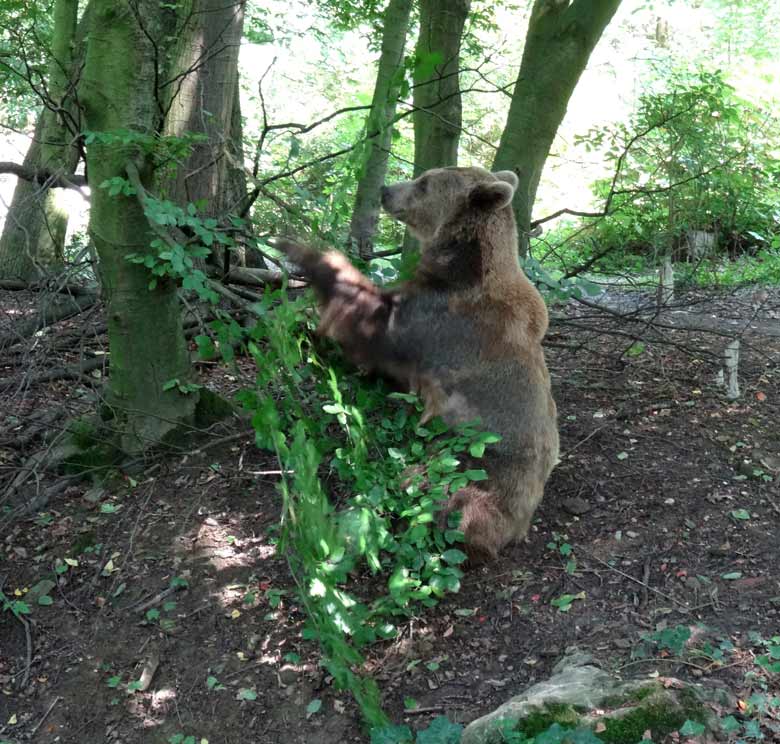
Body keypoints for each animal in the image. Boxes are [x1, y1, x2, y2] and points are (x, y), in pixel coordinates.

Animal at [280, 164, 560, 560]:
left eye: (425, 182)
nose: (385, 190)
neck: (463, 264)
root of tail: (519, 525)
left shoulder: (441, 319)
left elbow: (375, 324)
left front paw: (306, 251)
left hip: (471, 467)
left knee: (433, 493)